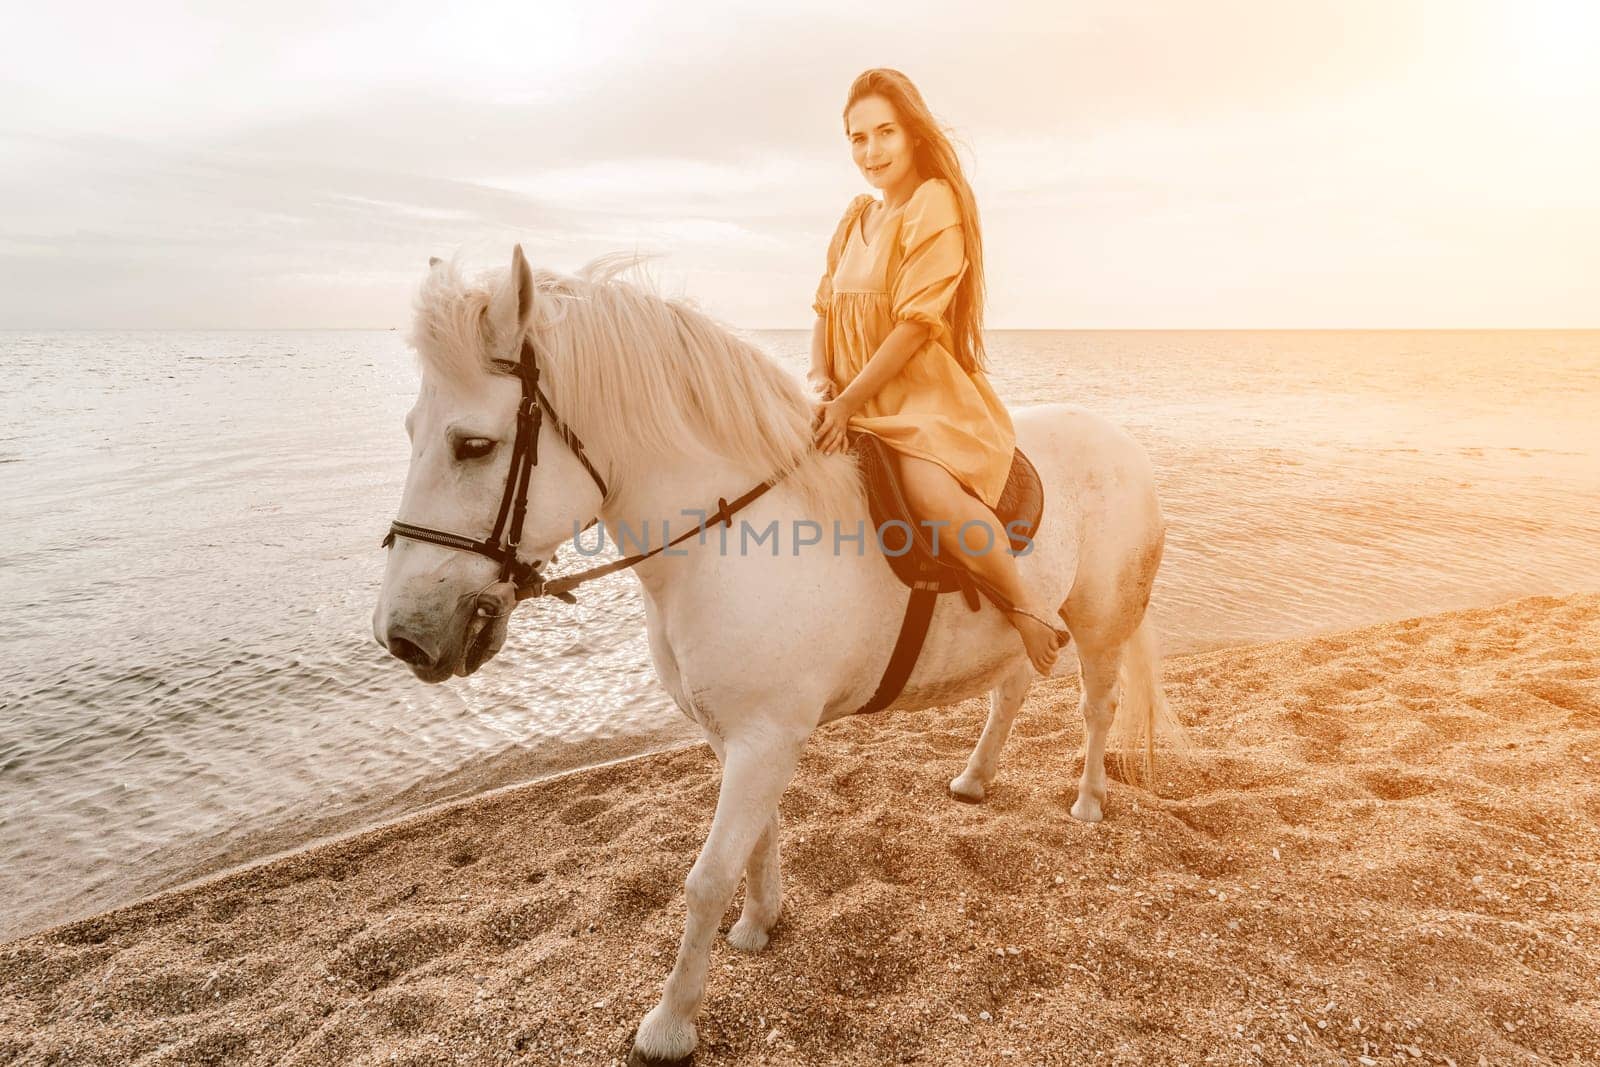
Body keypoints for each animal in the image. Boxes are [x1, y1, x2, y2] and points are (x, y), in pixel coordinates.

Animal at [371, 246, 1177, 1062]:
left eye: (474, 445)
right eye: (408, 430)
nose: (402, 633)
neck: (723, 539)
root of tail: (1123, 441)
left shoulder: (765, 738)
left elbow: (706, 877)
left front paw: (671, 1022)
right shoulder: (735, 735)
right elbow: (755, 843)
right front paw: (760, 923)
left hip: (1101, 621)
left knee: (1098, 705)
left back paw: (1088, 801)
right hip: (1024, 626)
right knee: (1011, 688)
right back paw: (976, 779)